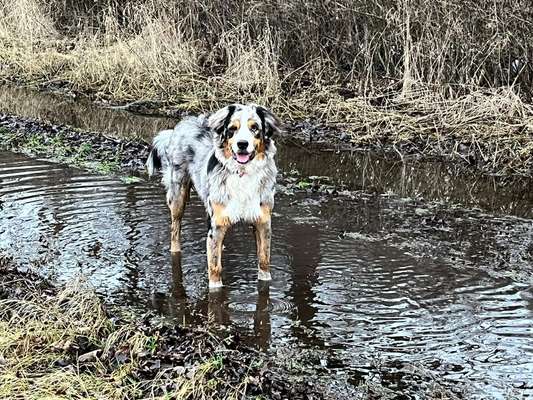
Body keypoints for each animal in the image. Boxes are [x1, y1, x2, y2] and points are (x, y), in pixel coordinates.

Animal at [143, 104, 280, 290]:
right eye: (232, 129)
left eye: (255, 128)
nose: (242, 144)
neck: (242, 174)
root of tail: (184, 123)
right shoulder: (217, 223)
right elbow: (214, 268)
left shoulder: (263, 221)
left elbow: (264, 260)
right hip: (178, 195)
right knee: (175, 230)